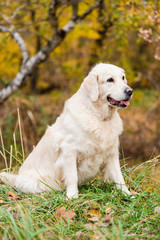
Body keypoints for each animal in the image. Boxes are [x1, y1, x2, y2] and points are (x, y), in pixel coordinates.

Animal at [0, 62, 134, 199]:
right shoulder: (69, 151)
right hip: (34, 182)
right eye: (110, 80)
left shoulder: (111, 153)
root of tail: (17, 178)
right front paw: (72, 196)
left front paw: (127, 194)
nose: (130, 91)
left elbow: (119, 176)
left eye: (123, 78)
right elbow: (72, 176)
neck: (99, 116)